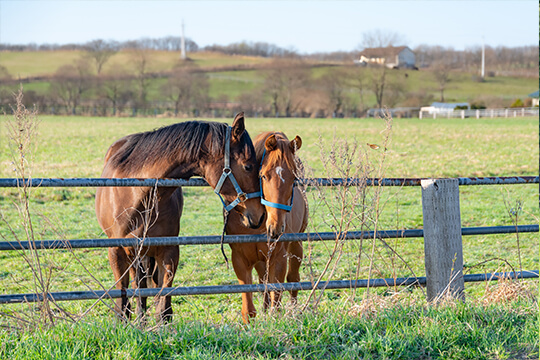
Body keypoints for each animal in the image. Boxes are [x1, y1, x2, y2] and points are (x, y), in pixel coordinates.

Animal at [97, 112, 268, 320]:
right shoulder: (117, 251)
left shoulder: (168, 250)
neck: (138, 196)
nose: (260, 215)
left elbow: (163, 305)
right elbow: (123, 304)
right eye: (248, 166)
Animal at [225, 131, 308, 322]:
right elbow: (249, 304)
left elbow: (276, 293)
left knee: (293, 278)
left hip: (296, 244)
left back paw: (294, 310)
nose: (275, 228)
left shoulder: (279, 257)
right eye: (263, 175)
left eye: (294, 179)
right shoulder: (240, 258)